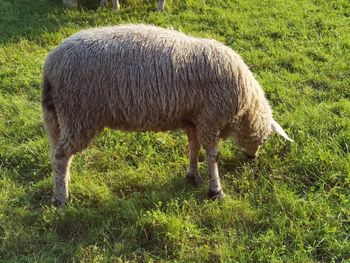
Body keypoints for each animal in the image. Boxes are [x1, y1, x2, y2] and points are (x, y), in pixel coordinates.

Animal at [41, 24, 292, 206]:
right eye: (265, 138)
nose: (253, 158)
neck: (245, 106)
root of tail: (50, 64)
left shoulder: (193, 120)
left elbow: (194, 148)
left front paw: (193, 175)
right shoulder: (210, 119)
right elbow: (212, 155)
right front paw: (216, 190)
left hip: (56, 116)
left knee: (56, 154)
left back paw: (62, 182)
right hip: (79, 115)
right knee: (62, 155)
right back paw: (61, 198)